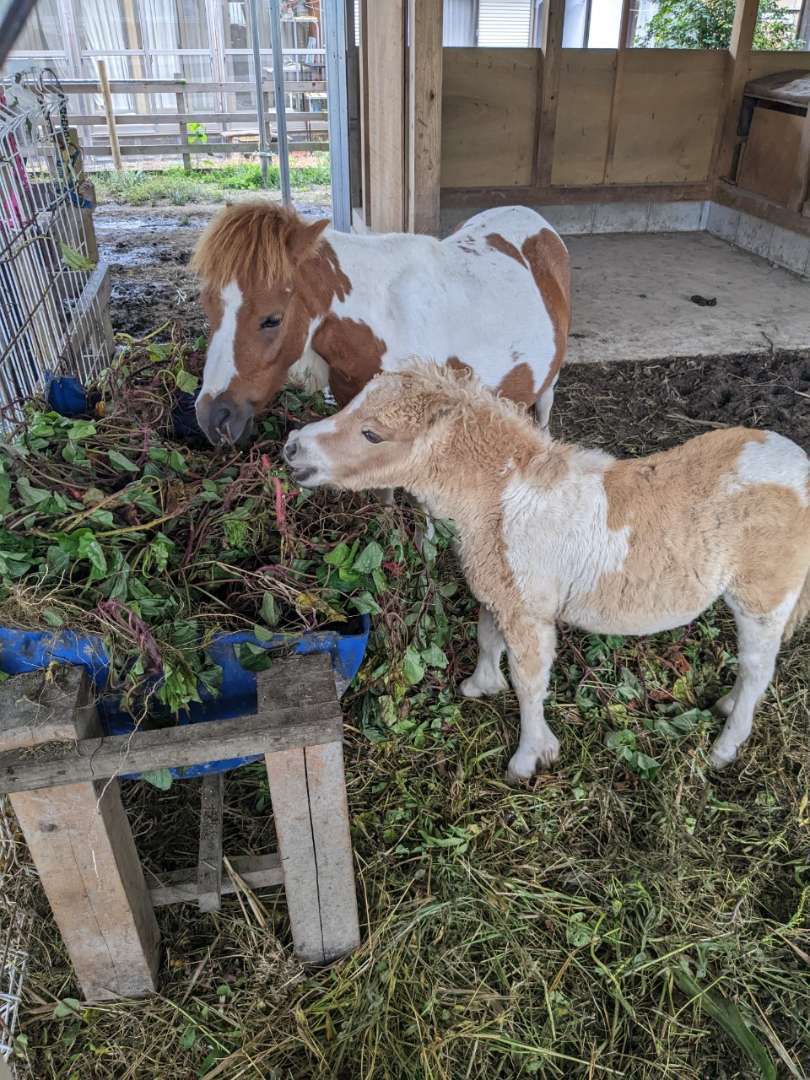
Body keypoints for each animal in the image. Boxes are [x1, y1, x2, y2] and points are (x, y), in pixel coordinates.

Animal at [191, 200, 570, 444]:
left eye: (272, 319)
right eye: (208, 307)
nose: (212, 418)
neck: (385, 321)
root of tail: (531, 215)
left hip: (548, 382)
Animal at [282, 367, 810, 781]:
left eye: (372, 434)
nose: (291, 448)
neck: (500, 497)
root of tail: (800, 466)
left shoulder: (530, 610)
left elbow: (529, 680)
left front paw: (529, 758)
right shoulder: (502, 590)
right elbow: (488, 637)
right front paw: (478, 687)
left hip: (763, 597)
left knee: (758, 669)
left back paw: (724, 748)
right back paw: (724, 708)